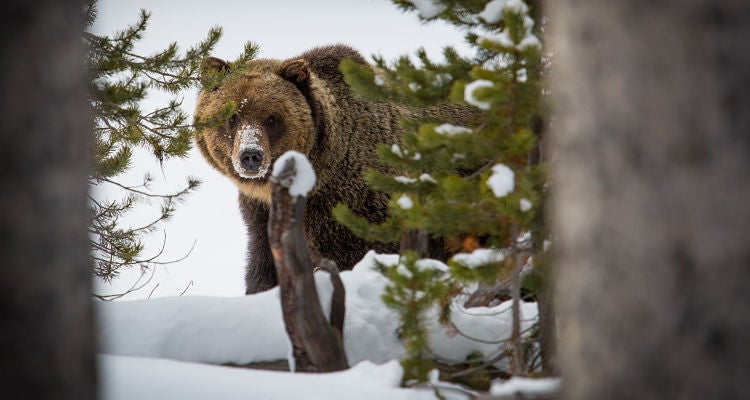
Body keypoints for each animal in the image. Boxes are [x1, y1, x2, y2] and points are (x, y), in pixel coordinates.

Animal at [194, 44, 477, 294]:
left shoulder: (351, 208)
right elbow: (263, 266)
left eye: (271, 118)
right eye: (232, 117)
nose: (251, 155)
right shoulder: (261, 214)